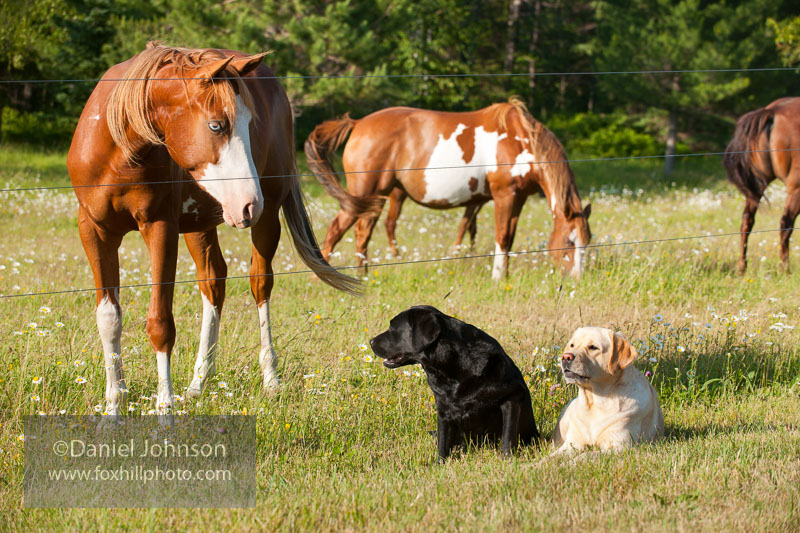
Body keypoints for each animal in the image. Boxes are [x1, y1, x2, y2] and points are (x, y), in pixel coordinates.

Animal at [68, 42, 356, 416]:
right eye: (217, 126)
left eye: (250, 124)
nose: (249, 203)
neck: (119, 147)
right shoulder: (94, 232)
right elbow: (109, 318)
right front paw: (113, 407)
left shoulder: (160, 228)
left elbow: (160, 321)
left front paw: (165, 409)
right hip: (199, 226)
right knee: (213, 281)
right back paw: (198, 382)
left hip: (265, 220)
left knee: (260, 285)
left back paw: (270, 379)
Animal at [304, 97, 592, 278]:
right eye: (569, 242)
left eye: (586, 243)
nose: (577, 277)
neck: (521, 140)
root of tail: (358, 123)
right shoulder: (504, 195)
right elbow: (501, 237)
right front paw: (498, 277)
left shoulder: (517, 198)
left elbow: (506, 237)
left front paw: (505, 275)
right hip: (366, 194)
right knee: (339, 229)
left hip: (376, 198)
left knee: (363, 233)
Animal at [724, 97, 800, 274]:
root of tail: (772, 111)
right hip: (796, 188)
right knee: (785, 224)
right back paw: (785, 269)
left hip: (756, 189)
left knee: (747, 221)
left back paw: (742, 267)